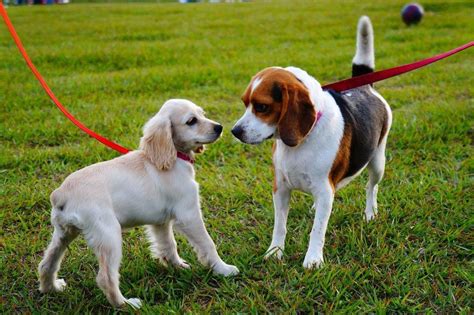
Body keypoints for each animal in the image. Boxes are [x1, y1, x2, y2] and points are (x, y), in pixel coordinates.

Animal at [38, 100, 239, 310]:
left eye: (202, 114)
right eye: (191, 121)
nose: (219, 127)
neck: (173, 158)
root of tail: (61, 194)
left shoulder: (161, 222)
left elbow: (168, 244)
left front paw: (176, 266)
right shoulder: (189, 214)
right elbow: (208, 244)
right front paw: (223, 269)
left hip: (64, 233)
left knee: (46, 264)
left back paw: (51, 288)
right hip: (109, 235)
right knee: (105, 278)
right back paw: (126, 304)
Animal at [231, 16, 390, 270]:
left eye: (262, 107)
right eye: (245, 103)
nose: (235, 131)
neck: (301, 141)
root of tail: (364, 86)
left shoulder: (325, 190)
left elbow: (318, 229)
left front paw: (313, 259)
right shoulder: (280, 188)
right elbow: (280, 225)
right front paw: (275, 252)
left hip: (377, 163)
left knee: (371, 187)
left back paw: (370, 213)